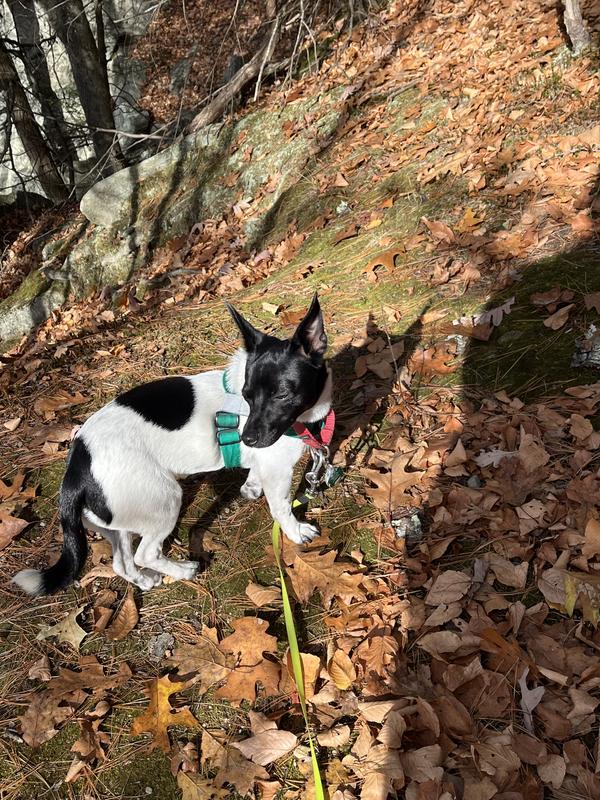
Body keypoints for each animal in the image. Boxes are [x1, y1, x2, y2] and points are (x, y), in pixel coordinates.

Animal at [13, 295, 331, 595]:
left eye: (281, 395)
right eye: (247, 395)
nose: (248, 439)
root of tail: (76, 467)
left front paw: (251, 485)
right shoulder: (279, 473)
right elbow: (282, 508)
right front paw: (295, 531)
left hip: (117, 520)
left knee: (122, 562)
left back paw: (145, 580)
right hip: (164, 499)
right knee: (144, 553)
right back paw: (182, 570)